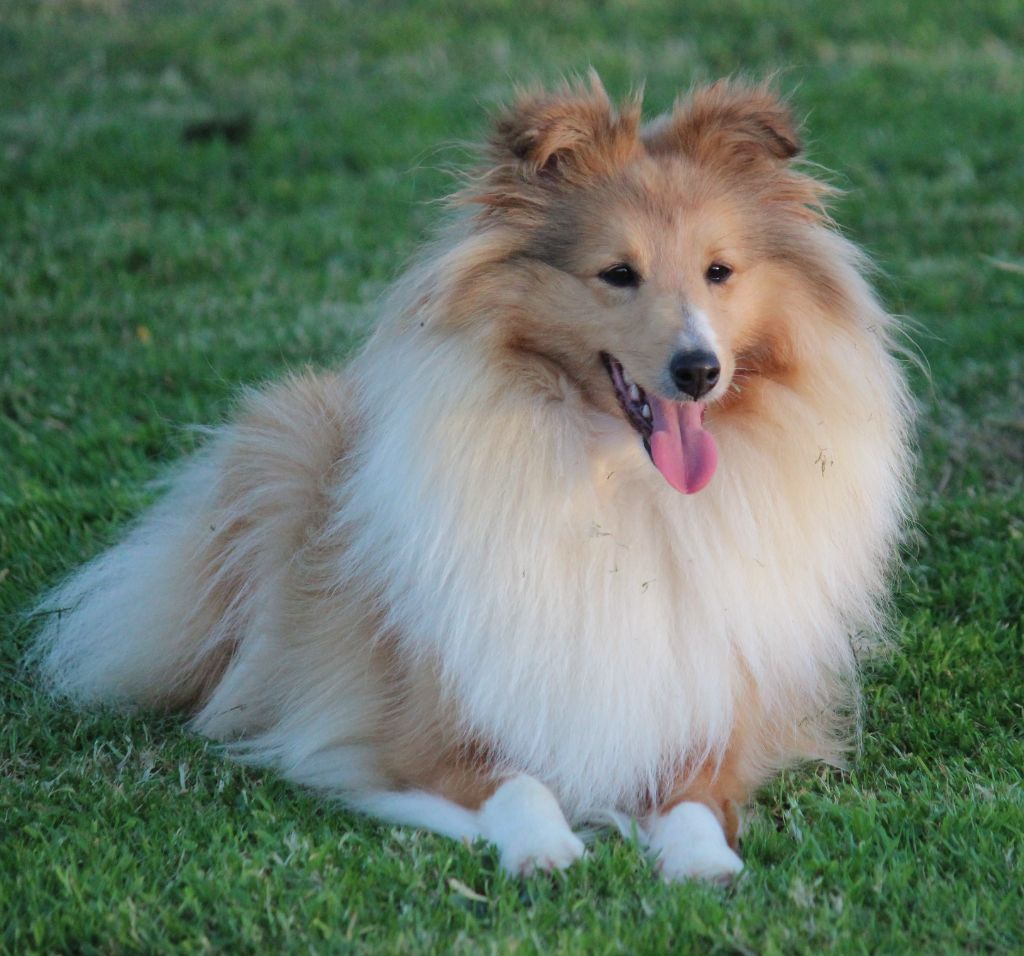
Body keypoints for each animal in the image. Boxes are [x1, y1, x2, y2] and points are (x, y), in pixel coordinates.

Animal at [32, 74, 913, 884]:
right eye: (618, 273)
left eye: (719, 271)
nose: (698, 371)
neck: (617, 485)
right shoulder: (418, 735)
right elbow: (517, 785)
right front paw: (546, 852)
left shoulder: (711, 718)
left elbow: (694, 800)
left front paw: (703, 866)